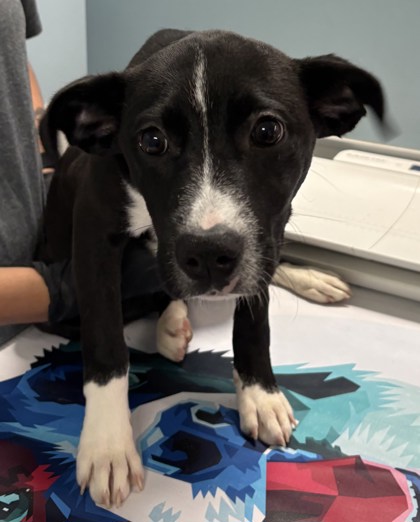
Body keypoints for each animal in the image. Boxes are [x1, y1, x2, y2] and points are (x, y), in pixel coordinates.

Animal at [40, 29, 385, 507]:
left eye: (267, 130)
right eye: (151, 141)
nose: (208, 256)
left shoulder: (271, 225)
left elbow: (255, 322)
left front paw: (260, 394)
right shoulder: (94, 235)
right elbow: (106, 341)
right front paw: (108, 445)